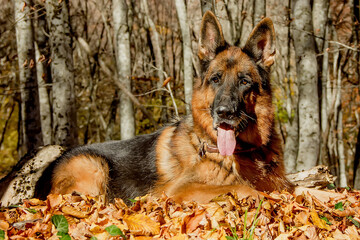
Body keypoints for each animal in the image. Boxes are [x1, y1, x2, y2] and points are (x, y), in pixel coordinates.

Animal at [0, 11, 294, 204]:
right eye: (215, 79)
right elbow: (248, 190)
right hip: (94, 166)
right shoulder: (180, 191)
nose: (224, 113)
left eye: (244, 82)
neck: (247, 153)